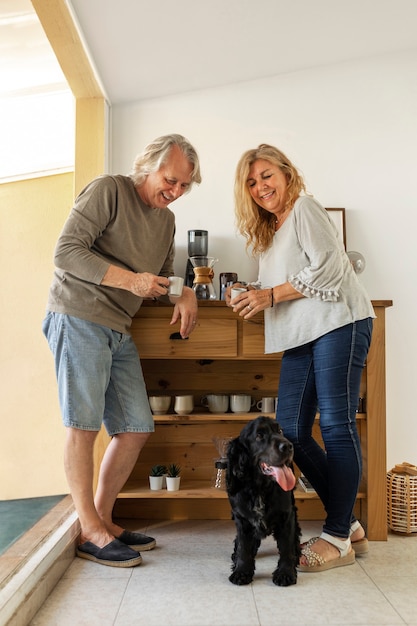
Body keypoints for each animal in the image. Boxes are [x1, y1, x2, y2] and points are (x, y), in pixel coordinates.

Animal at [226, 414, 300, 584]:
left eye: (280, 431)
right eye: (259, 435)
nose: (288, 446)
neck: (260, 489)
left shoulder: (287, 516)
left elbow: (286, 547)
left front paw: (285, 573)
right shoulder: (242, 519)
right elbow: (244, 547)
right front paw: (241, 571)